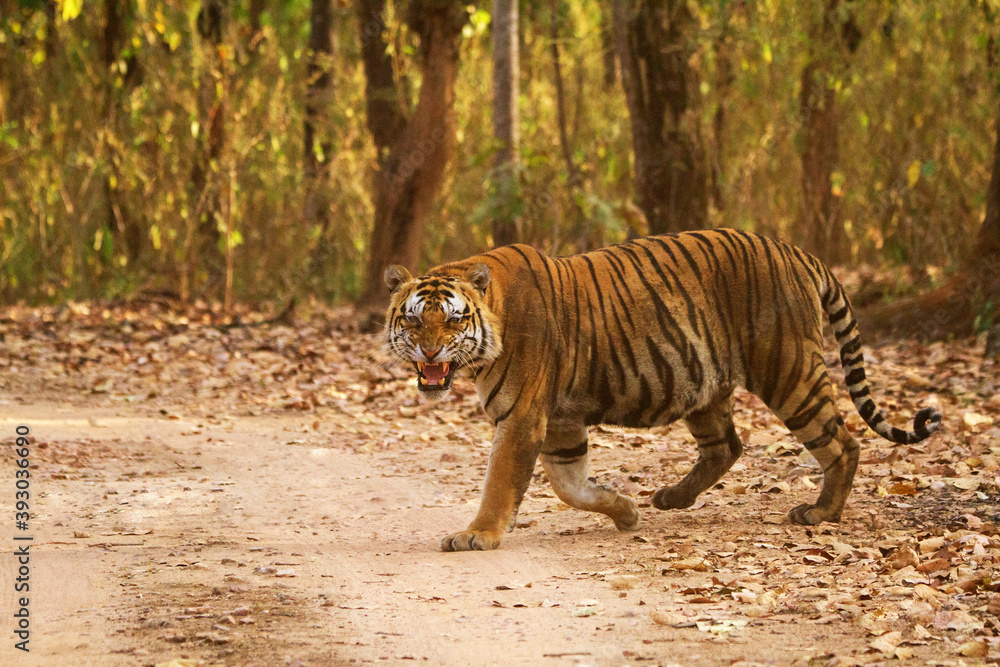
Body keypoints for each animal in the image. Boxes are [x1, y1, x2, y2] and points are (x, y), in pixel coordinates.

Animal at [382, 230, 942, 552]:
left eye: (453, 321)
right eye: (413, 320)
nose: (429, 353)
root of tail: (798, 252)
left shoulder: (522, 416)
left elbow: (502, 481)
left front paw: (476, 535)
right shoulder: (560, 421)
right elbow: (570, 485)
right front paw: (625, 511)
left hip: (788, 370)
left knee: (842, 442)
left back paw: (821, 514)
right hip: (701, 380)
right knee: (727, 446)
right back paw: (671, 497)